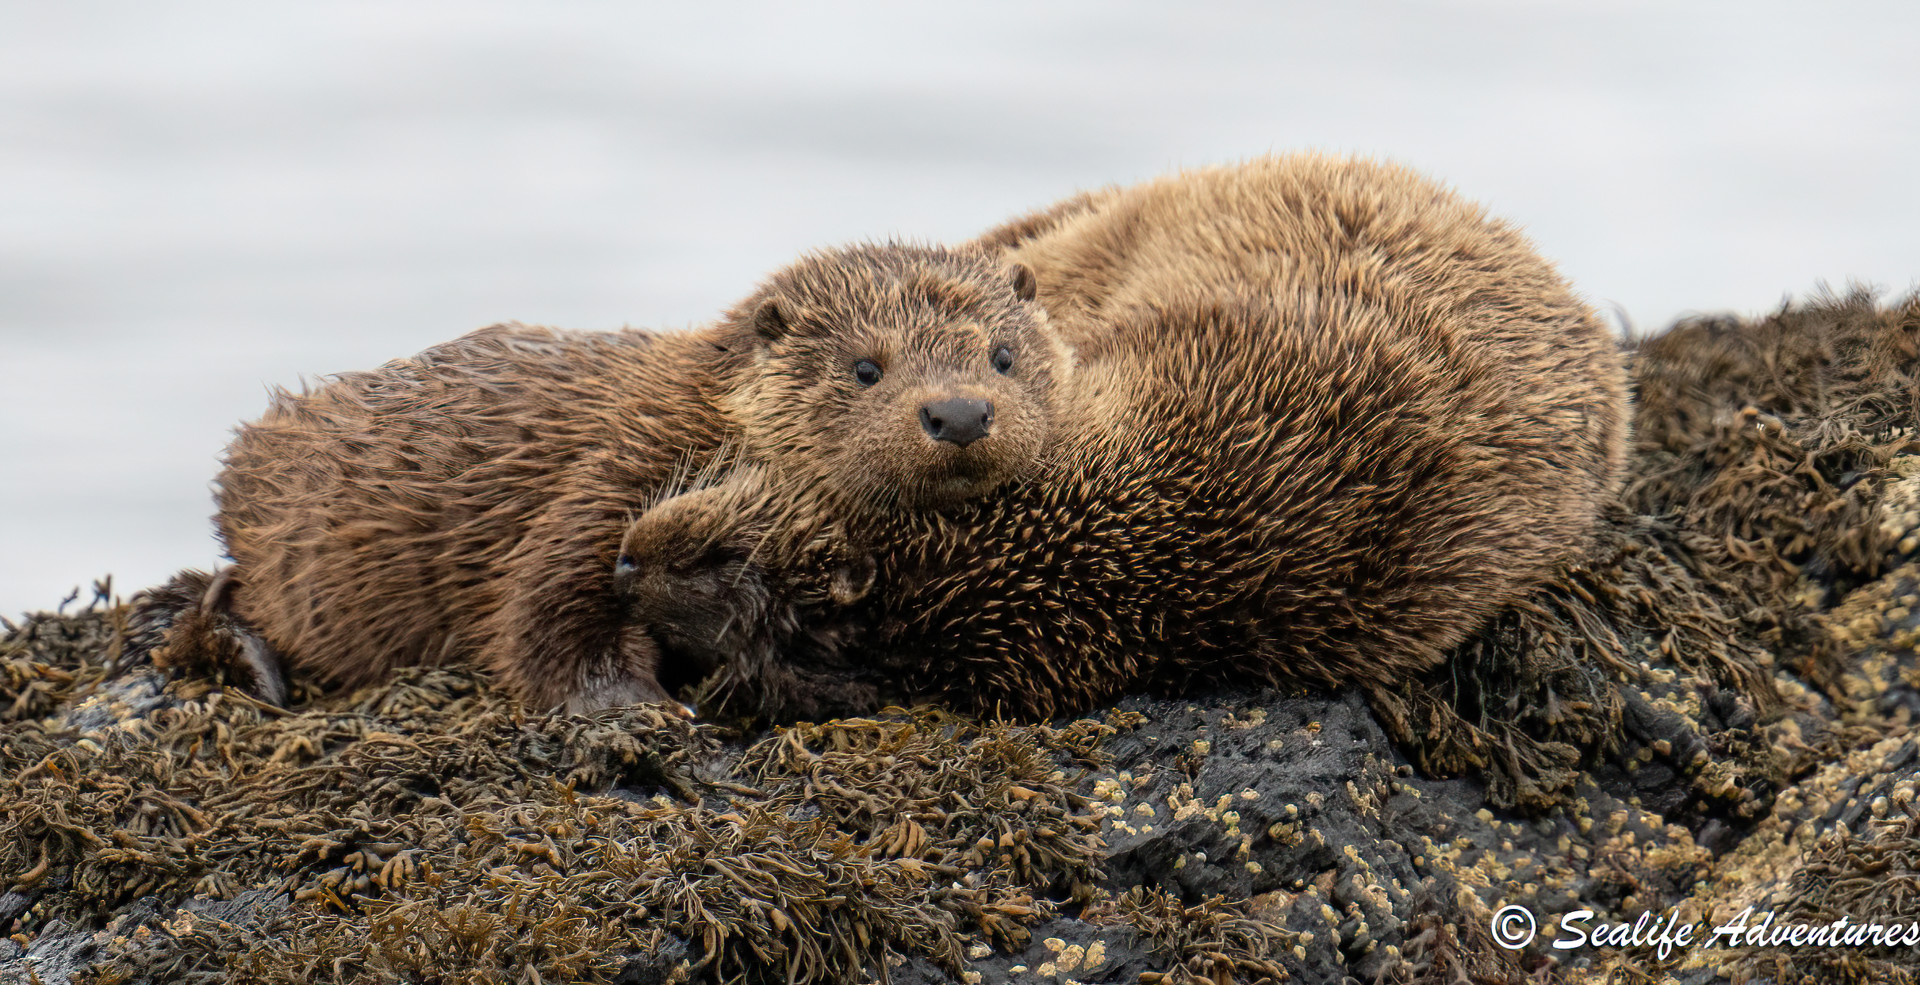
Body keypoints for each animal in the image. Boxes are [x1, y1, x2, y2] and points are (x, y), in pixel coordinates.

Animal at [131, 241, 1067, 710]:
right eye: (866, 369)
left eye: (1003, 355)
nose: (959, 413)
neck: (703, 414)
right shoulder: (613, 473)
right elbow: (544, 608)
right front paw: (636, 712)